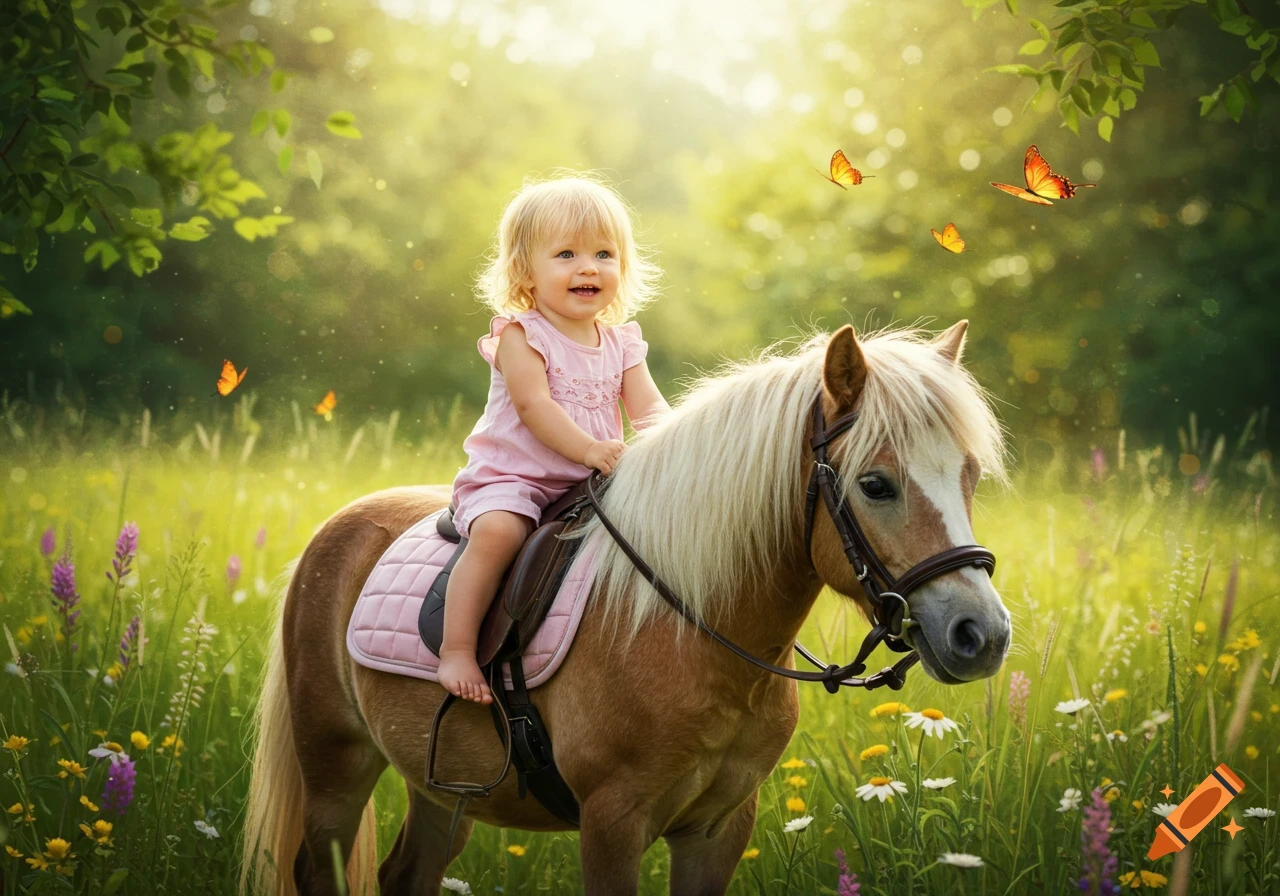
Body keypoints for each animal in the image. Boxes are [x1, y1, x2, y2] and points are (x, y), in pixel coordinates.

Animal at [240, 320, 1012, 896]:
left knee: (409, 874)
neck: (688, 630)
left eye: (969, 475)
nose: (982, 634)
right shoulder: (612, 825)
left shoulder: (718, 828)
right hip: (335, 765)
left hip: (441, 790)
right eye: (876, 484)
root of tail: (335, 529)